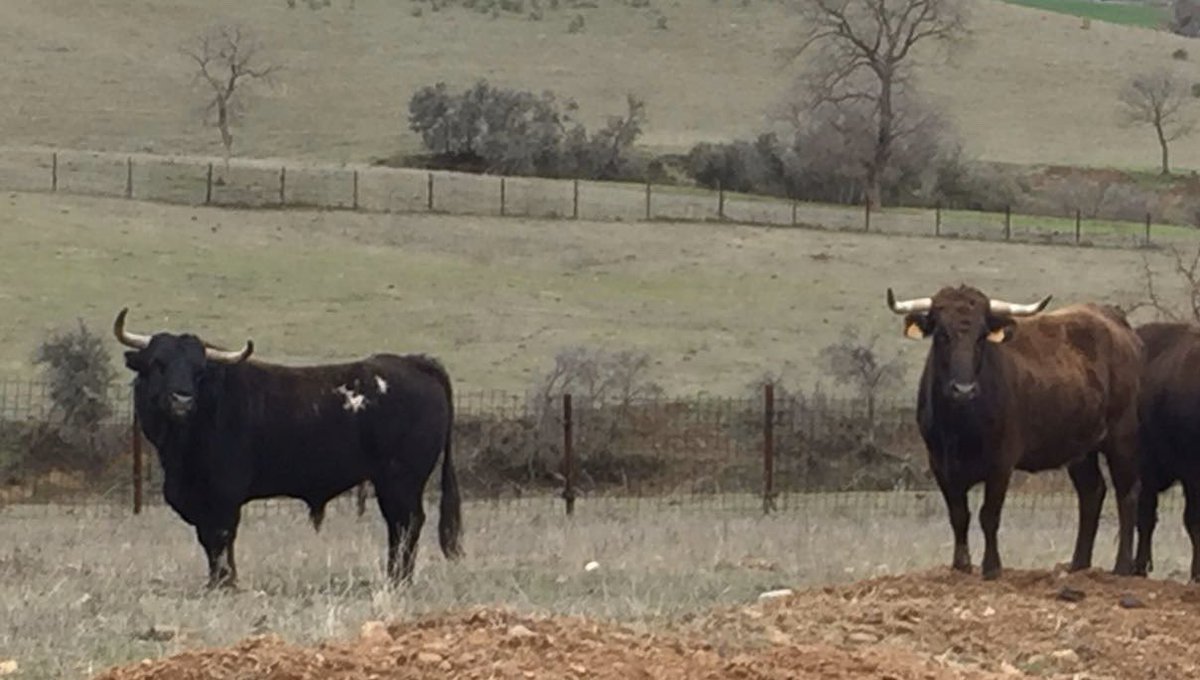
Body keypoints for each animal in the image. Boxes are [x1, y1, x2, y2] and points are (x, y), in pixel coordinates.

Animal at [113, 308, 462, 588]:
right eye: (158, 363)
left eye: (199, 371)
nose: (182, 399)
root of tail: (415, 363)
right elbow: (207, 540)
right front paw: (215, 582)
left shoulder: (224, 494)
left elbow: (220, 537)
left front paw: (226, 583)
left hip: (400, 480)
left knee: (406, 524)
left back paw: (398, 579)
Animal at [886, 285, 1143, 580]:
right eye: (942, 334)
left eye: (982, 337)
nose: (963, 389)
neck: (959, 425)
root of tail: (1114, 320)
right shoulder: (940, 464)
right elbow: (959, 515)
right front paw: (960, 566)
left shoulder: (1001, 463)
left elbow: (989, 515)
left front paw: (992, 567)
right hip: (1081, 448)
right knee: (1091, 493)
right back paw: (1078, 565)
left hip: (1122, 436)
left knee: (1126, 495)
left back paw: (1122, 567)